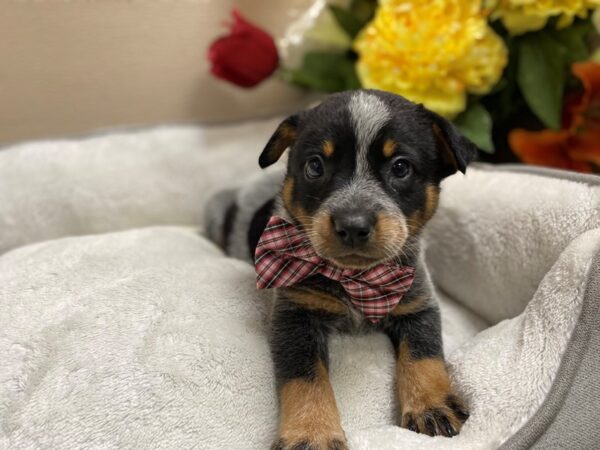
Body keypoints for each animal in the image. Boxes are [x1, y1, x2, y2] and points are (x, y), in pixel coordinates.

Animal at [204, 89, 476, 448]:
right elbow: (306, 379)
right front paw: (311, 432)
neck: (355, 280)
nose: (353, 225)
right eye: (315, 166)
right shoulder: (295, 316)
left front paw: (431, 405)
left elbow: (425, 355)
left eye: (400, 167)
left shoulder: (418, 304)